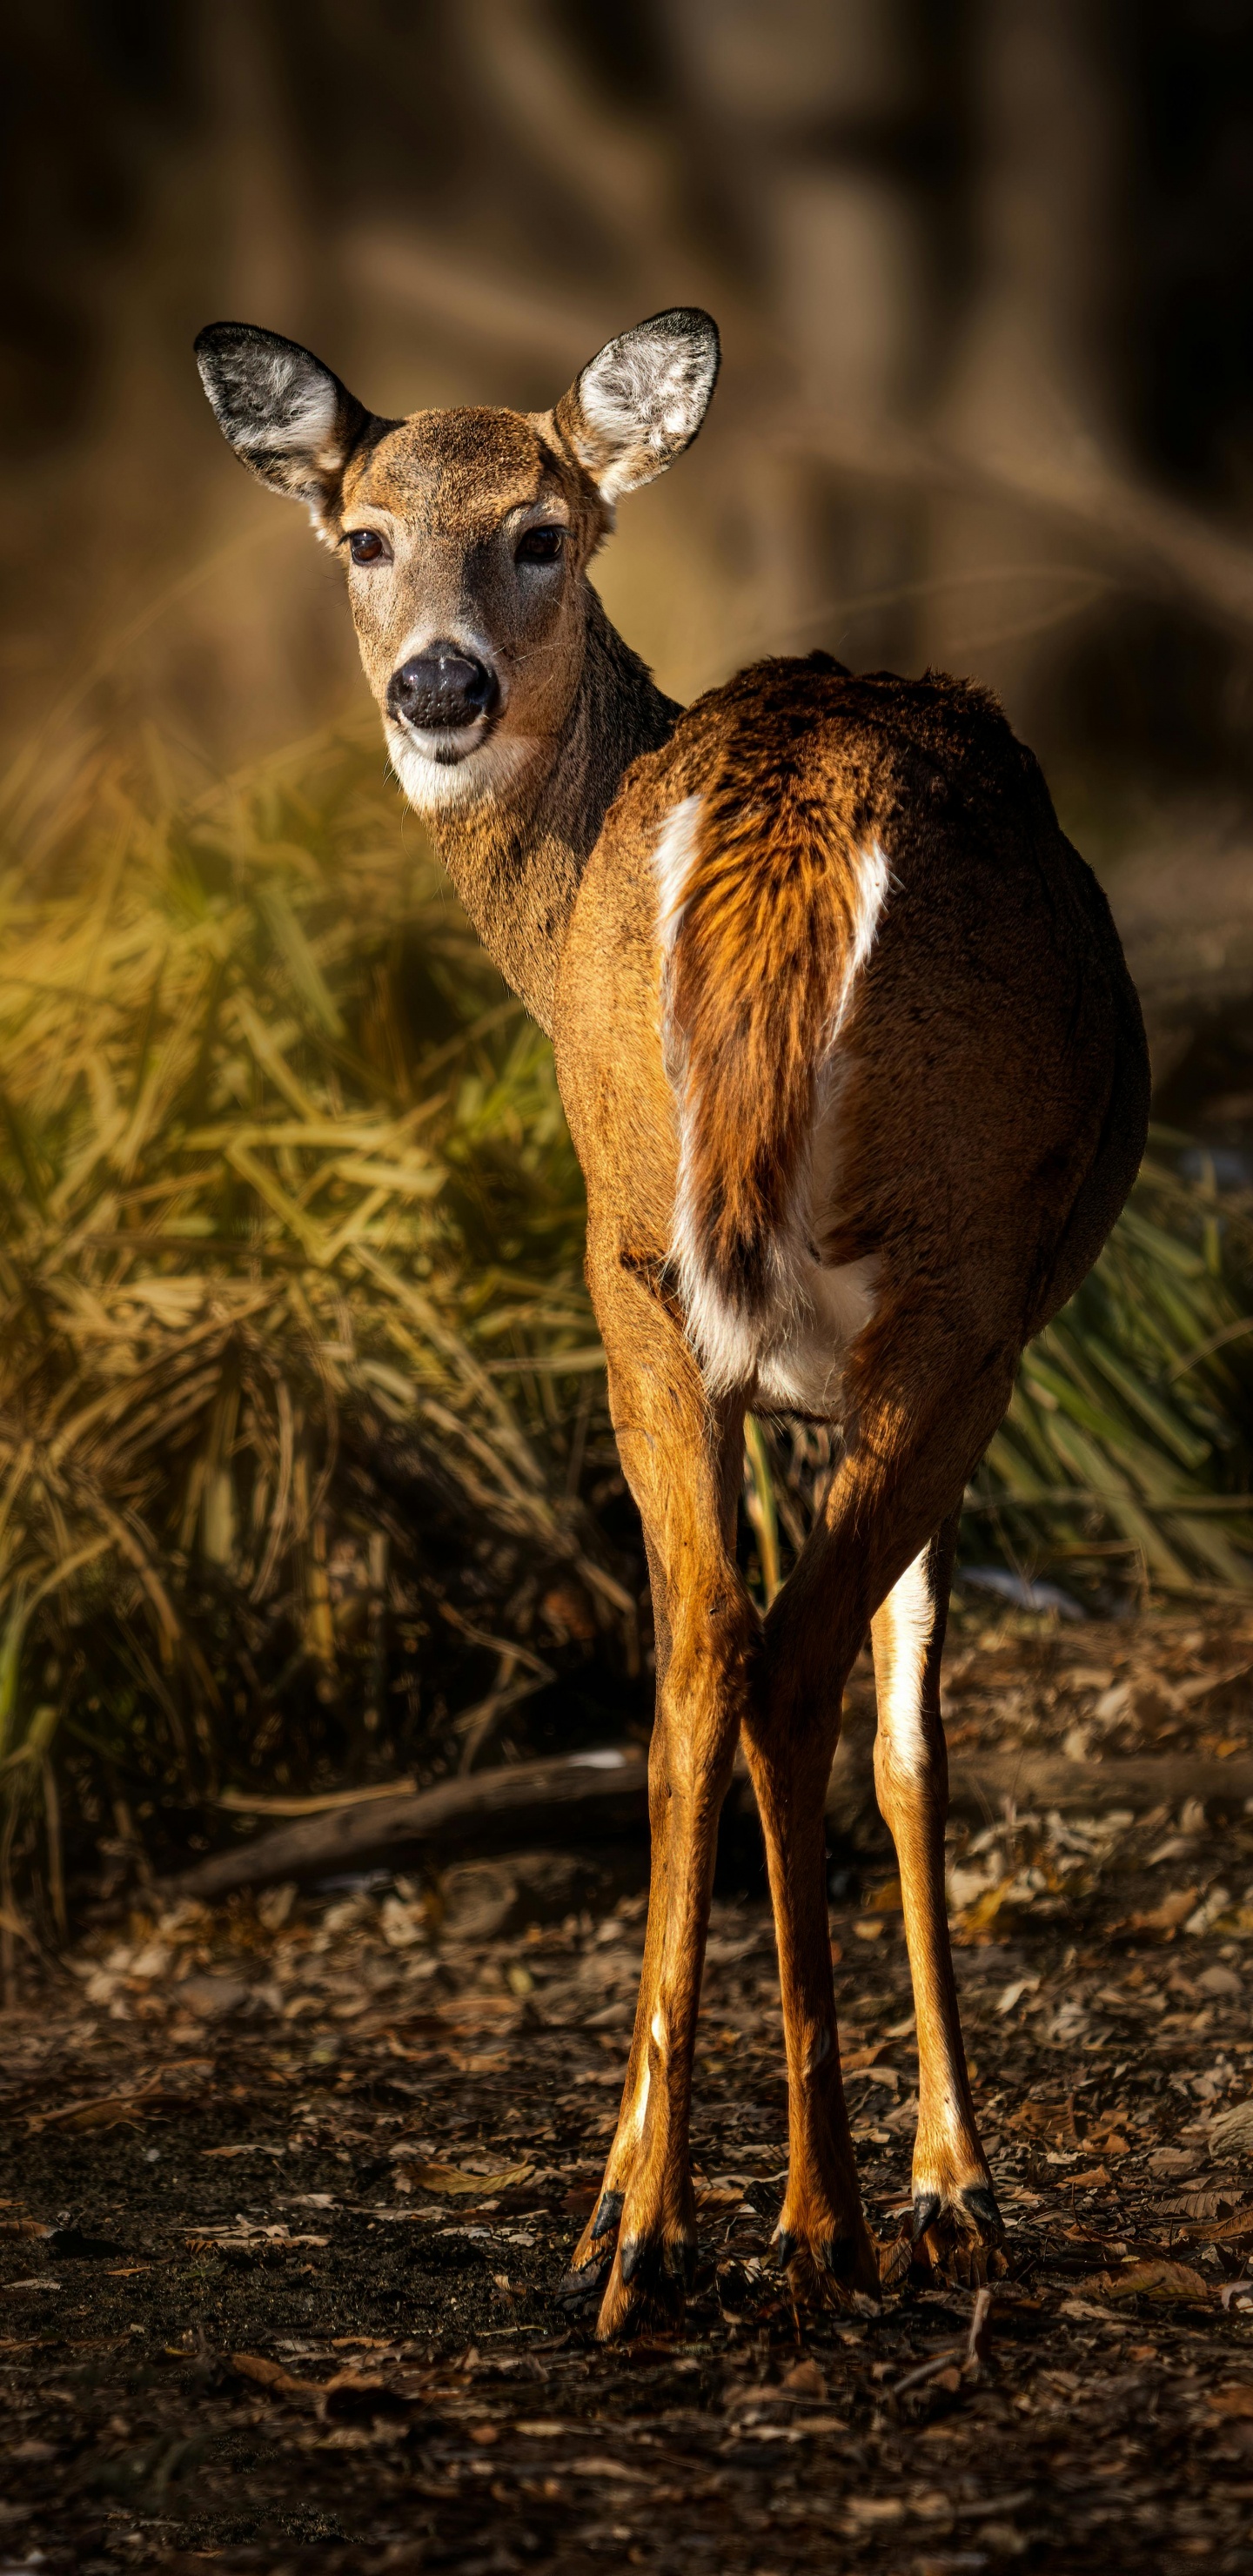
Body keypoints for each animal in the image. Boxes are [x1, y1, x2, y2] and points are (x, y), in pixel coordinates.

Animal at [196, 307, 1150, 2339]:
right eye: (363, 535)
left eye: (542, 530)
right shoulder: (927, 1344)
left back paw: (644, 2220)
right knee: (788, 1668)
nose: (442, 685)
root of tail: (786, 801)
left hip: (641, 1245)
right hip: (946, 1280)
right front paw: (956, 2187)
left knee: (700, 1663)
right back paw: (820, 2223)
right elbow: (913, 1737)